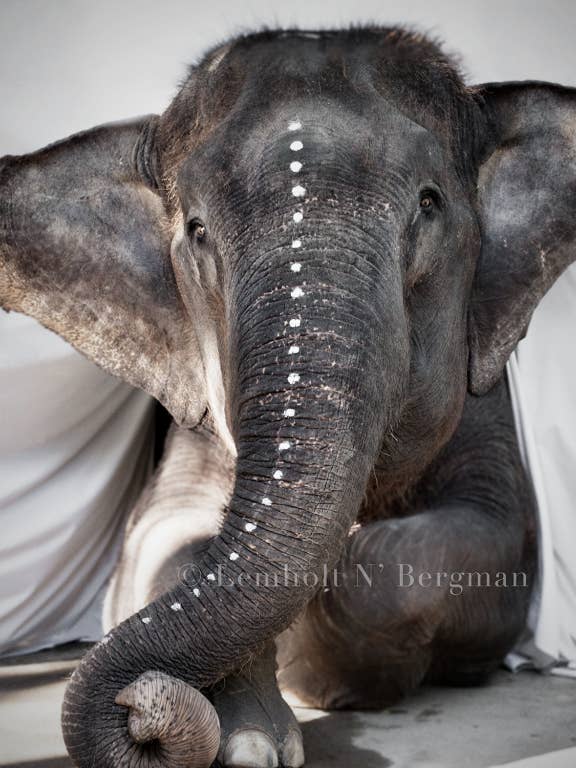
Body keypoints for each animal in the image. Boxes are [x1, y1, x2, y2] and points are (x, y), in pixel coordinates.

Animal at [1, 24, 575, 768]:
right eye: (196, 230)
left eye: (429, 203)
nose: (138, 713)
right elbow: (159, 541)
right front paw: (250, 743)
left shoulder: (488, 412)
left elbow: (483, 541)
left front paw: (316, 668)